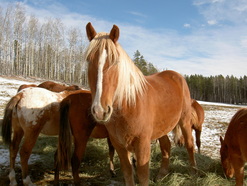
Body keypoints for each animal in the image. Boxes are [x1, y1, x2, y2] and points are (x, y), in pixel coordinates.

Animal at [85, 22, 197, 185]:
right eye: (88, 61)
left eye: (115, 61)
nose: (100, 111)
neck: (129, 105)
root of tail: (176, 75)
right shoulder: (119, 145)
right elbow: (128, 173)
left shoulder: (142, 144)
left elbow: (143, 175)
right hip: (162, 126)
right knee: (166, 146)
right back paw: (162, 174)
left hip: (185, 121)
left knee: (189, 143)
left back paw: (194, 172)